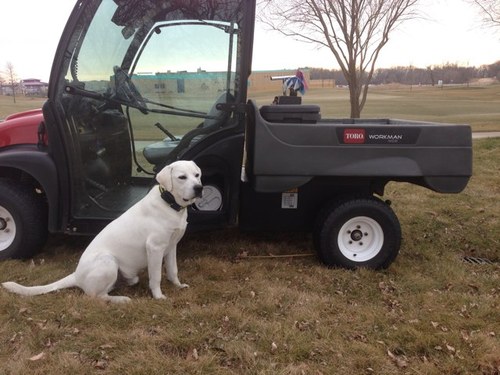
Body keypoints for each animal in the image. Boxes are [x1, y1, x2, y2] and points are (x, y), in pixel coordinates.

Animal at [2, 160, 201, 304]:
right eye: (182, 177)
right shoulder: (155, 248)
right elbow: (156, 277)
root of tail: (76, 275)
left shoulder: (171, 246)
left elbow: (173, 270)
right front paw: (159, 297)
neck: (170, 204)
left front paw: (178, 286)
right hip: (108, 261)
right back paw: (121, 299)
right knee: (96, 296)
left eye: (197, 175)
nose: (199, 188)